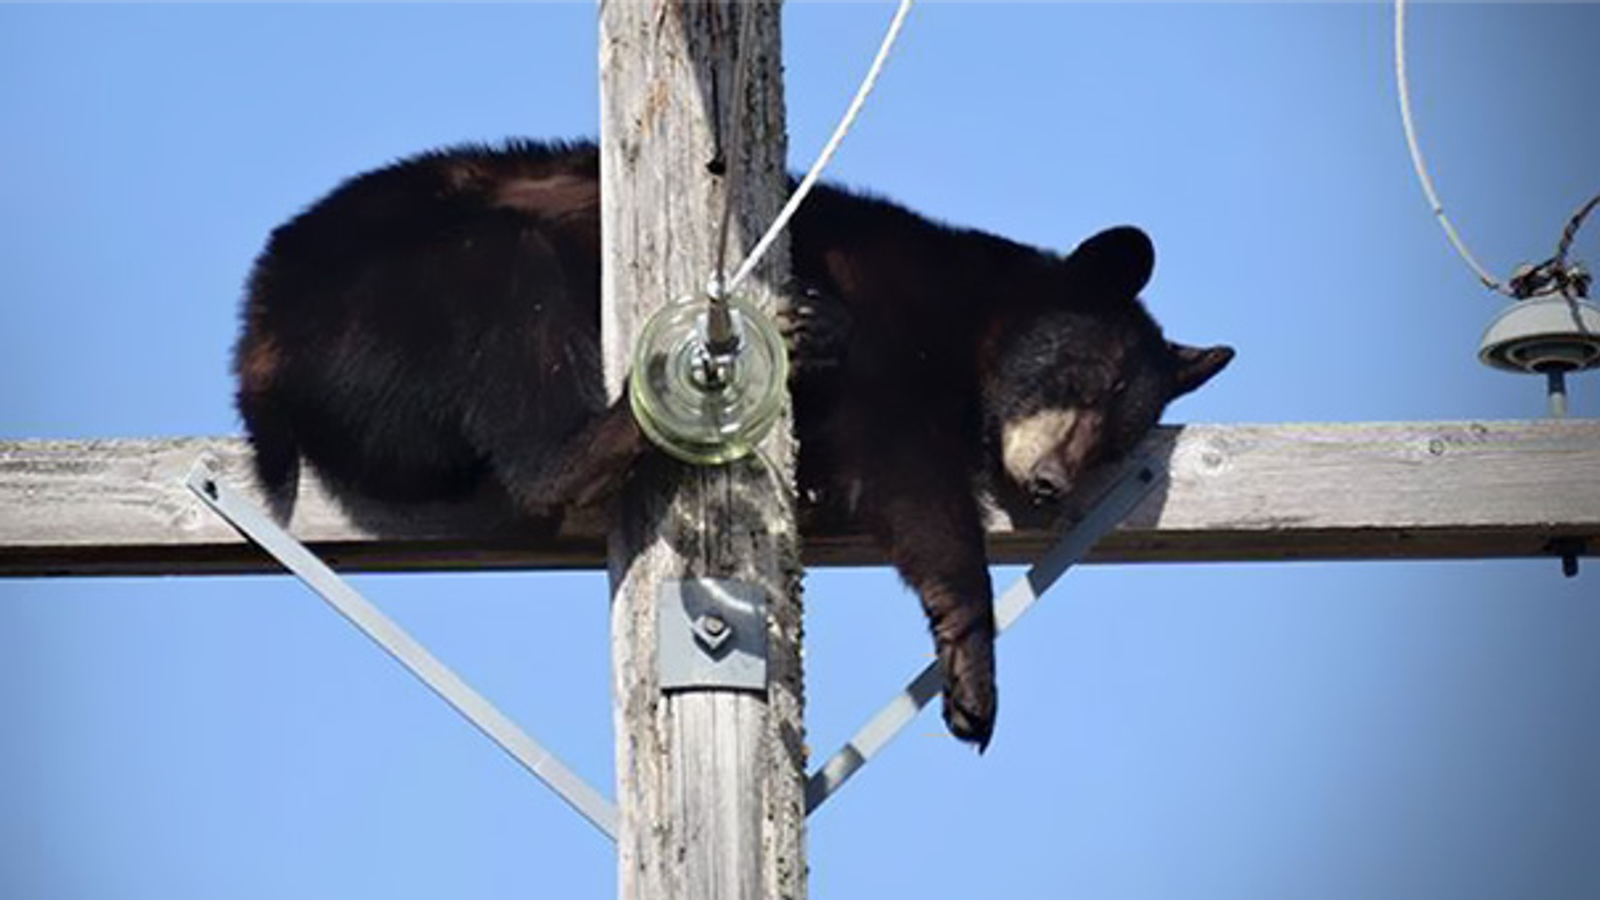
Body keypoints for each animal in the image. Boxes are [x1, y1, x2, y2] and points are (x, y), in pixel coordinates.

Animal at [235, 138, 1233, 751]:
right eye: (1083, 380)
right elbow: (913, 483)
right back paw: (633, 417)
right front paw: (971, 667)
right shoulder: (891, 333)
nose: (1056, 481)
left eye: (1120, 434)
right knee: (508, 296)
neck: (962, 321)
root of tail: (257, 342)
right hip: (399, 294)